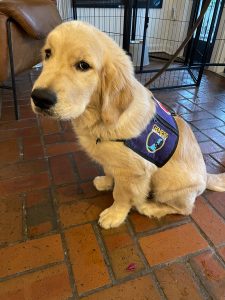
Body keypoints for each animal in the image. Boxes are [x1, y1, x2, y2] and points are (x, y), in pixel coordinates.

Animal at [30, 21, 225, 229]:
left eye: (83, 65)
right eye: (48, 53)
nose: (40, 98)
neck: (99, 119)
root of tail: (206, 177)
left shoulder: (133, 173)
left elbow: (122, 195)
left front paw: (115, 214)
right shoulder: (112, 161)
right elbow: (109, 170)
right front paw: (106, 181)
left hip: (169, 188)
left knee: (184, 209)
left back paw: (151, 207)